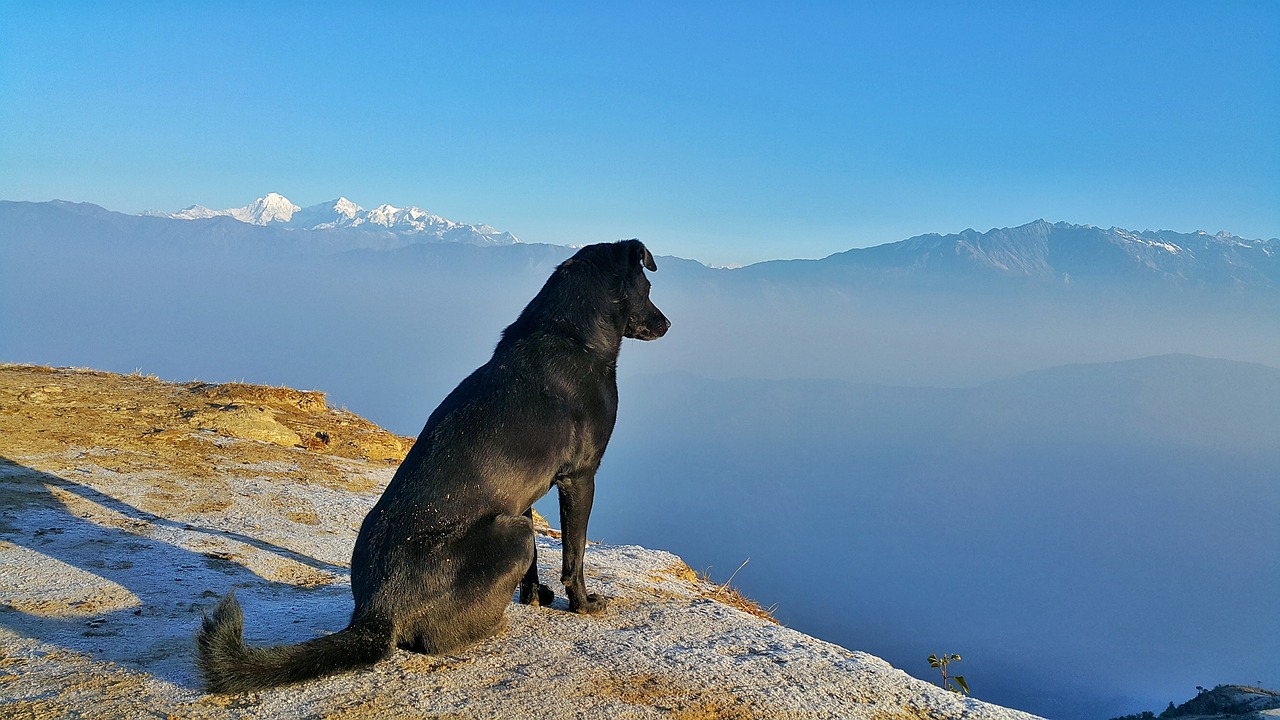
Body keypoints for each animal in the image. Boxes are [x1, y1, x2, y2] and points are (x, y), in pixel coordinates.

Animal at [194, 239, 670, 691]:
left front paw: (535, 595)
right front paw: (583, 603)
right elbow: (575, 555)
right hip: (513, 532)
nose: (666, 324)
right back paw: (493, 626)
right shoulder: (580, 478)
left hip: (511, 521)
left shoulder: (525, 495)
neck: (570, 333)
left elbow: (540, 562)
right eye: (648, 287)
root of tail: (377, 611)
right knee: (436, 639)